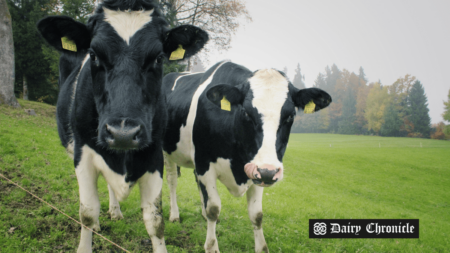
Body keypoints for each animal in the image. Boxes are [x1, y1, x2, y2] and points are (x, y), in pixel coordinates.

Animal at [37, 0, 209, 252]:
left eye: (159, 57)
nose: (123, 134)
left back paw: (115, 211)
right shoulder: (83, 153)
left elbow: (155, 220)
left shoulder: (154, 155)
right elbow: (87, 212)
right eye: (93, 55)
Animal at [162, 61, 330, 253]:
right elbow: (213, 208)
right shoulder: (205, 164)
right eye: (246, 112)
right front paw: (212, 246)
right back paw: (174, 214)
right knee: (172, 180)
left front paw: (262, 248)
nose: (269, 171)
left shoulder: (258, 171)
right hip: (166, 152)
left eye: (290, 116)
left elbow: (256, 215)